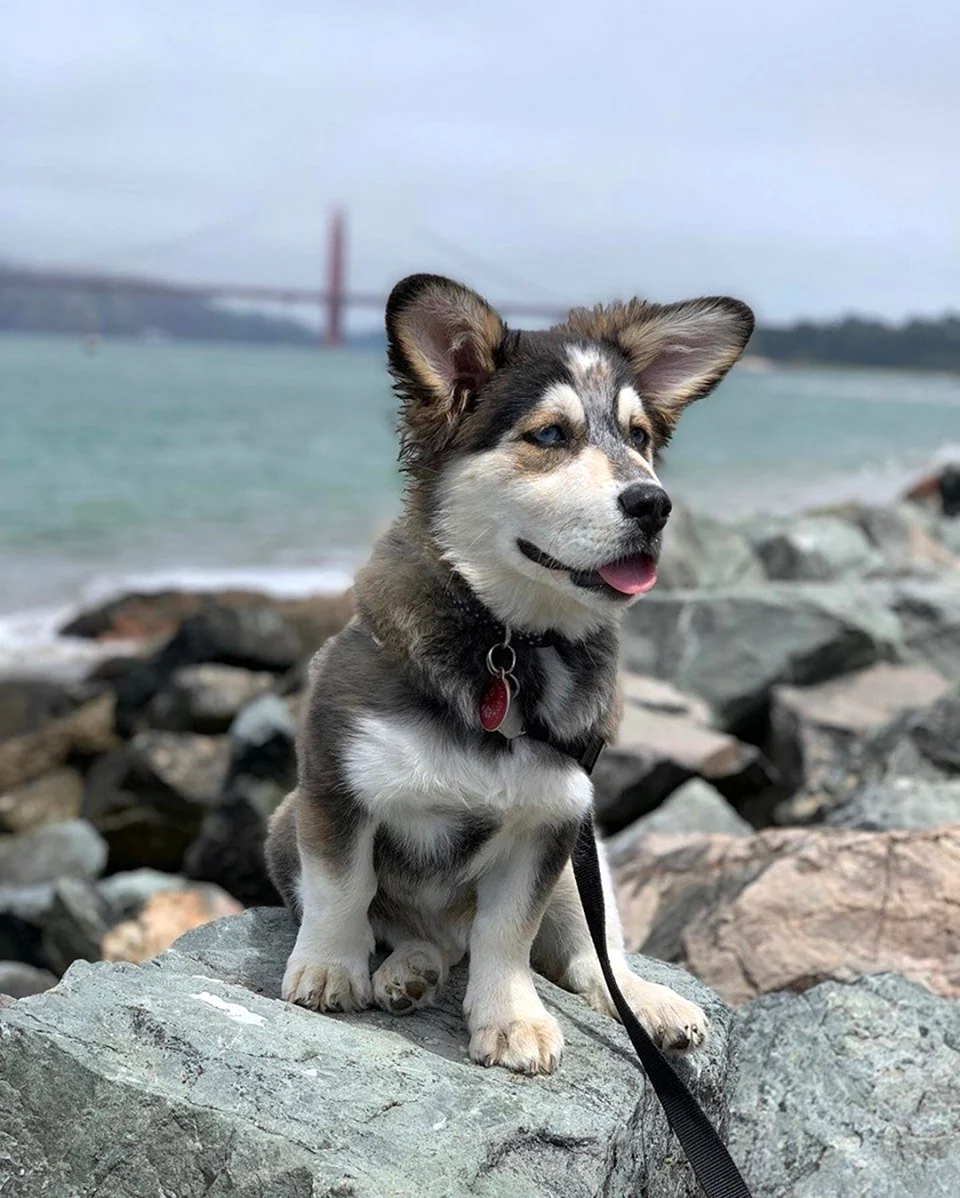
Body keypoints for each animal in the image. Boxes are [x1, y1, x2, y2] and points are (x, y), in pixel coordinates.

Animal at [266, 274, 752, 1078]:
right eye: (550, 436)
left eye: (640, 437)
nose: (654, 504)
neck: (510, 645)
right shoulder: (336, 784)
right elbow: (344, 889)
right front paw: (331, 968)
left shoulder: (553, 817)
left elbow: (508, 933)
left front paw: (511, 1018)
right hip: (284, 824)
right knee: (409, 929)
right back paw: (408, 968)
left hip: (590, 863)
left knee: (592, 953)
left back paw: (646, 1001)